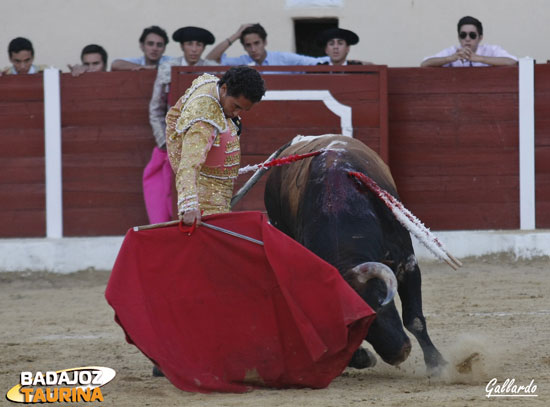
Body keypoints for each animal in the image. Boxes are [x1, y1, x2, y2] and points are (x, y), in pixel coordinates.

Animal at [264, 136, 448, 372]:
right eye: (351, 325)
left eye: (380, 301)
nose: (400, 353)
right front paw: (361, 357)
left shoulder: (407, 263)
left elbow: (414, 318)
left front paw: (437, 364)